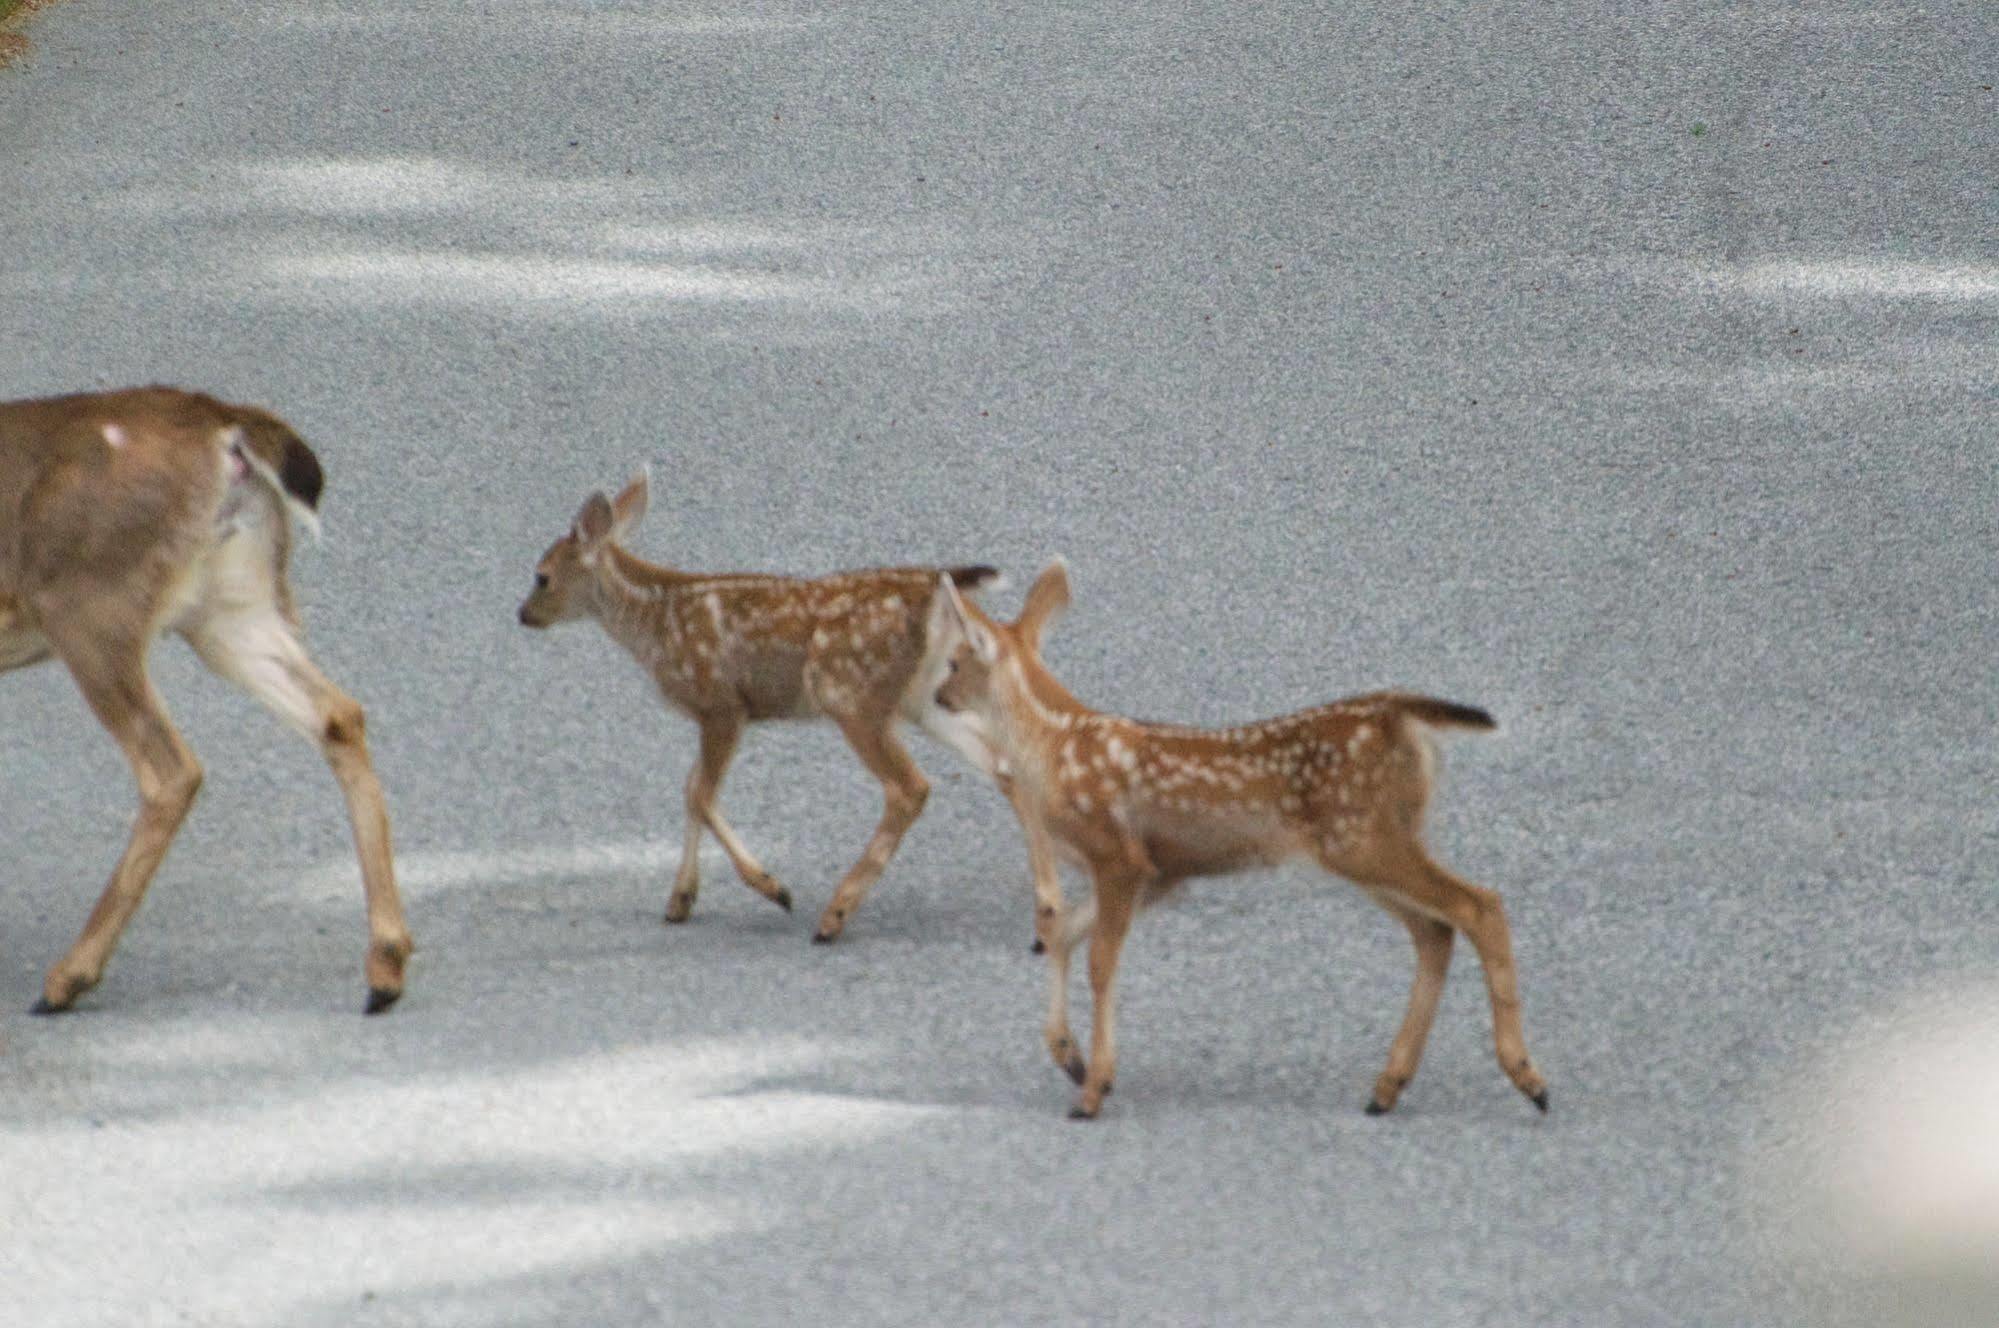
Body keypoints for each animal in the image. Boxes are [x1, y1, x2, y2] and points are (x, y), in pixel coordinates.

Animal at [0, 384, 413, 1016]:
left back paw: (67, 978)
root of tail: (225, 424)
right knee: (338, 714)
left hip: (89, 604)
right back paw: (386, 967)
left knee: (171, 769)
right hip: (231, 601)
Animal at [515, 472, 999, 940]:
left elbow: (701, 793)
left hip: (850, 695)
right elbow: (691, 789)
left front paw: (773, 888)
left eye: (542, 576)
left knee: (910, 787)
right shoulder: (713, 714)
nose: (523, 614)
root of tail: (936, 588)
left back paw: (835, 913)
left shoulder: (721, 703)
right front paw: (680, 900)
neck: (654, 622)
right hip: (926, 696)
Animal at [927, 560, 1551, 1120]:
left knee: (1479, 905)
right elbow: (1061, 935)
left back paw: (1528, 1078)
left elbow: (1100, 962)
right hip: (1370, 842)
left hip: (1364, 837)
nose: (937, 695)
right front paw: (1071, 1058)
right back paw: (1388, 1087)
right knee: (1435, 930)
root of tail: (1403, 714)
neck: (1054, 747)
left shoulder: (1119, 857)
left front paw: (1093, 1089)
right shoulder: (1160, 872)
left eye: (955, 661)